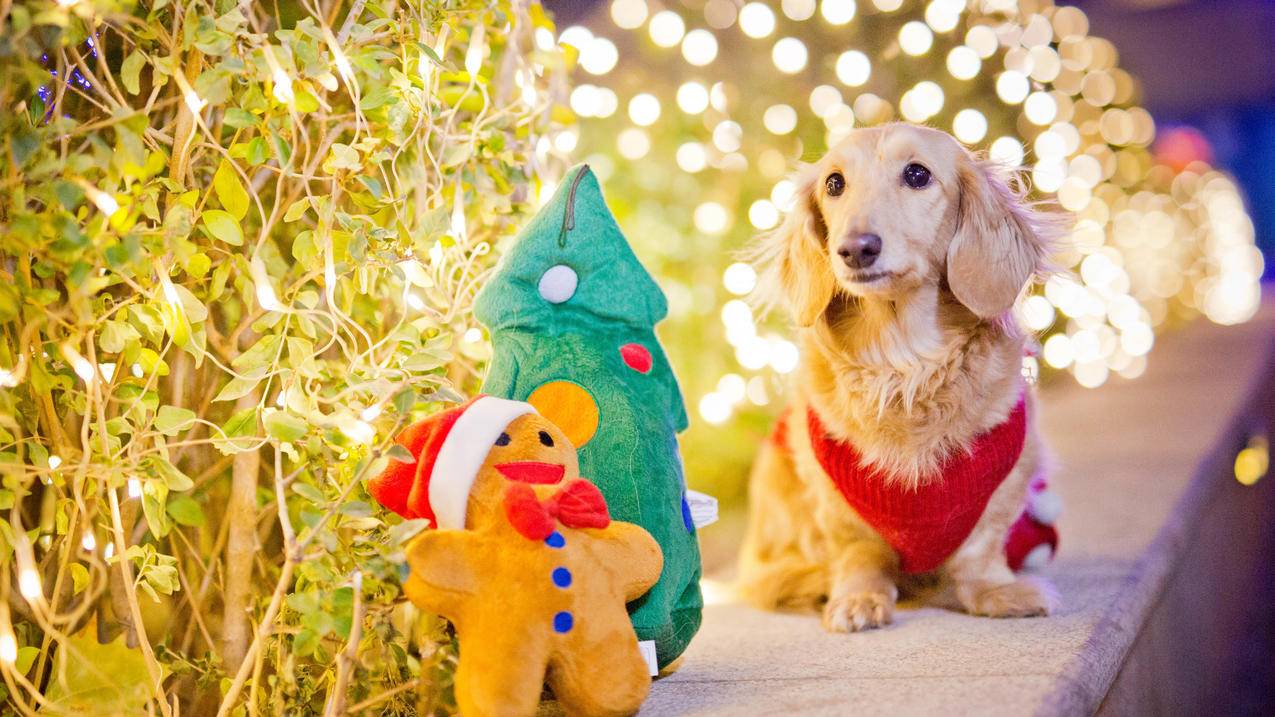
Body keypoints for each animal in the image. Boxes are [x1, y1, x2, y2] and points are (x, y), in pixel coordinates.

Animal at [739, 122, 1065, 630]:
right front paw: (858, 598)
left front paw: (996, 592)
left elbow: (981, 550)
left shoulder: (1006, 473)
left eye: (917, 174)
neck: (905, 362)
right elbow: (859, 552)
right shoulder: (836, 498)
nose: (855, 249)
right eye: (834, 183)